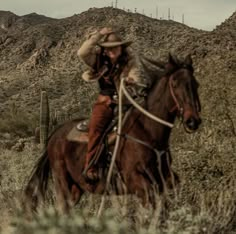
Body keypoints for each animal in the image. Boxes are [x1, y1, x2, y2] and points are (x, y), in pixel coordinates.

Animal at [24, 54, 201, 213]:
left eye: (196, 84)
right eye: (175, 84)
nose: (193, 121)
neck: (147, 132)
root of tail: (54, 135)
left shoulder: (164, 180)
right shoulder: (138, 183)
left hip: (76, 188)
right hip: (62, 183)